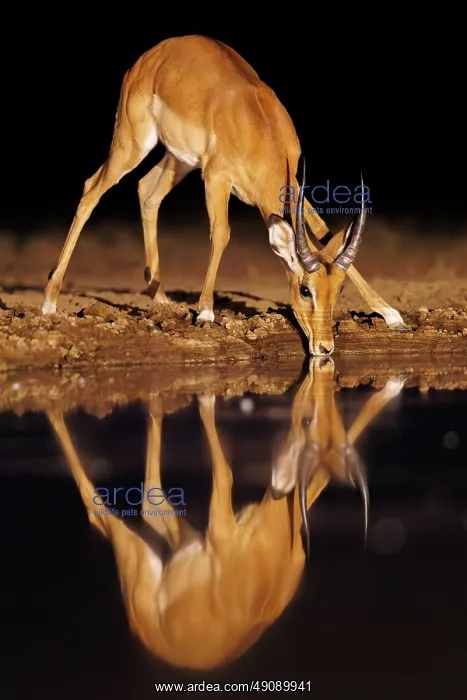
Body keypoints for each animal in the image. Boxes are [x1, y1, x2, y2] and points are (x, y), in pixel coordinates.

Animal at [42, 35, 409, 356]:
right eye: (305, 289)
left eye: (337, 290)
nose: (325, 348)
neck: (257, 125)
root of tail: (150, 56)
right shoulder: (216, 178)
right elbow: (221, 234)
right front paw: (205, 313)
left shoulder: (291, 187)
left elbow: (325, 232)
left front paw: (392, 315)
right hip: (133, 143)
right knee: (91, 189)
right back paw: (49, 301)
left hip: (178, 160)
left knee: (147, 191)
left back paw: (161, 298)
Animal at [46, 362, 405, 670]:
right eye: (307, 422)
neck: (269, 554)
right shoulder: (219, 531)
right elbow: (226, 471)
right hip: (138, 555)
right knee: (99, 509)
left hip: (175, 539)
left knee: (151, 497)